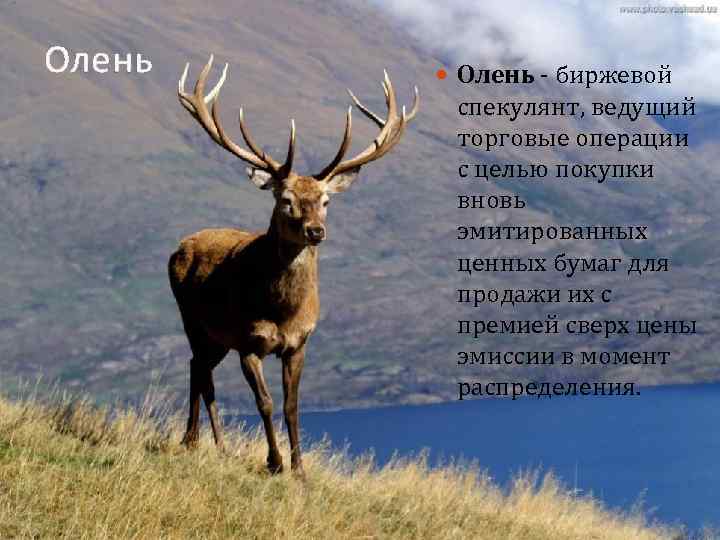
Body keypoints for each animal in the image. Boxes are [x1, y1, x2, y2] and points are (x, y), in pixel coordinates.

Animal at [168, 55, 418, 477]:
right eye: (286, 200)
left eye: (325, 201)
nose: (316, 230)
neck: (282, 312)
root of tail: (180, 246)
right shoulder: (247, 341)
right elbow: (265, 402)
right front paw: (274, 461)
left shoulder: (300, 343)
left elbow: (291, 405)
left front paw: (299, 469)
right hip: (193, 320)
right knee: (198, 368)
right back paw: (191, 440)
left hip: (216, 337)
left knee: (200, 369)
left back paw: (216, 445)